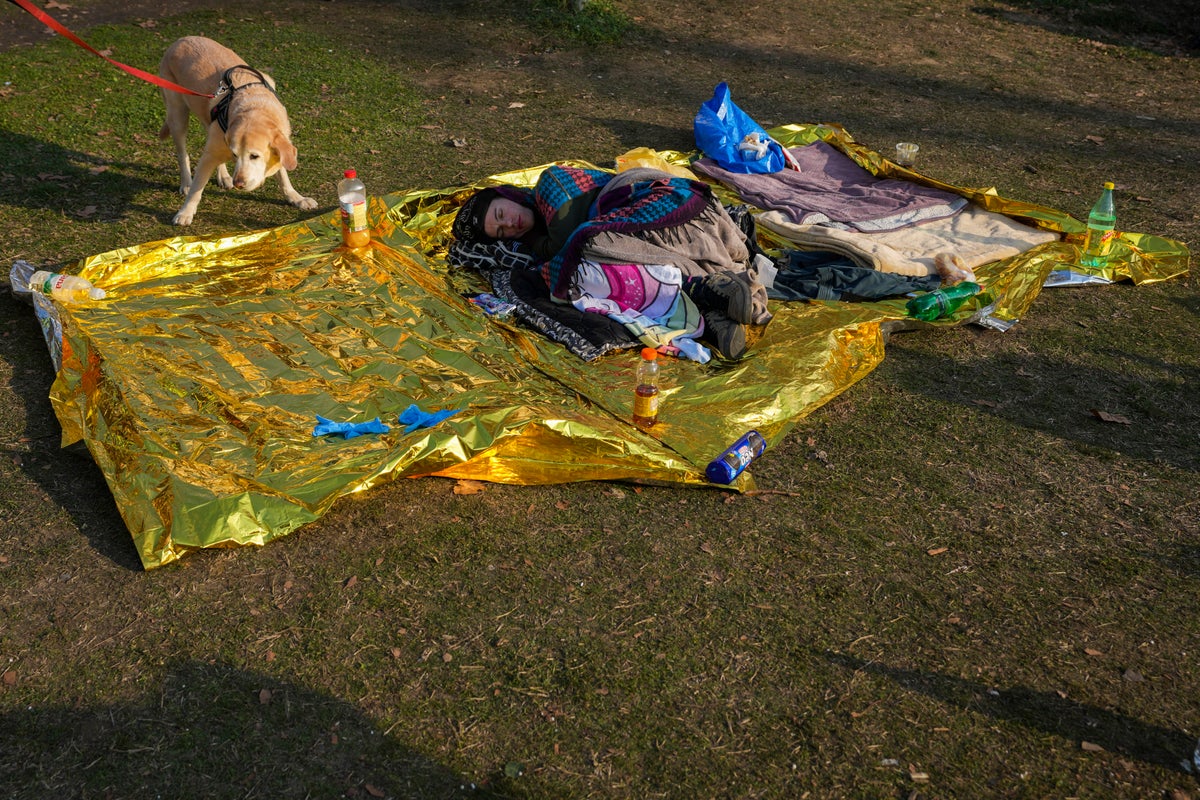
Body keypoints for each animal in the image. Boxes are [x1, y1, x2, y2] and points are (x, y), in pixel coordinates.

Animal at [157, 36, 316, 225]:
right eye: (235, 155)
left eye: (254, 156)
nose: (238, 183)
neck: (255, 107)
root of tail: (181, 39)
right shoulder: (210, 154)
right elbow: (197, 189)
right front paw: (185, 212)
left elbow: (283, 174)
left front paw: (297, 198)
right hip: (178, 116)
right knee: (183, 155)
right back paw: (187, 182)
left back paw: (224, 176)